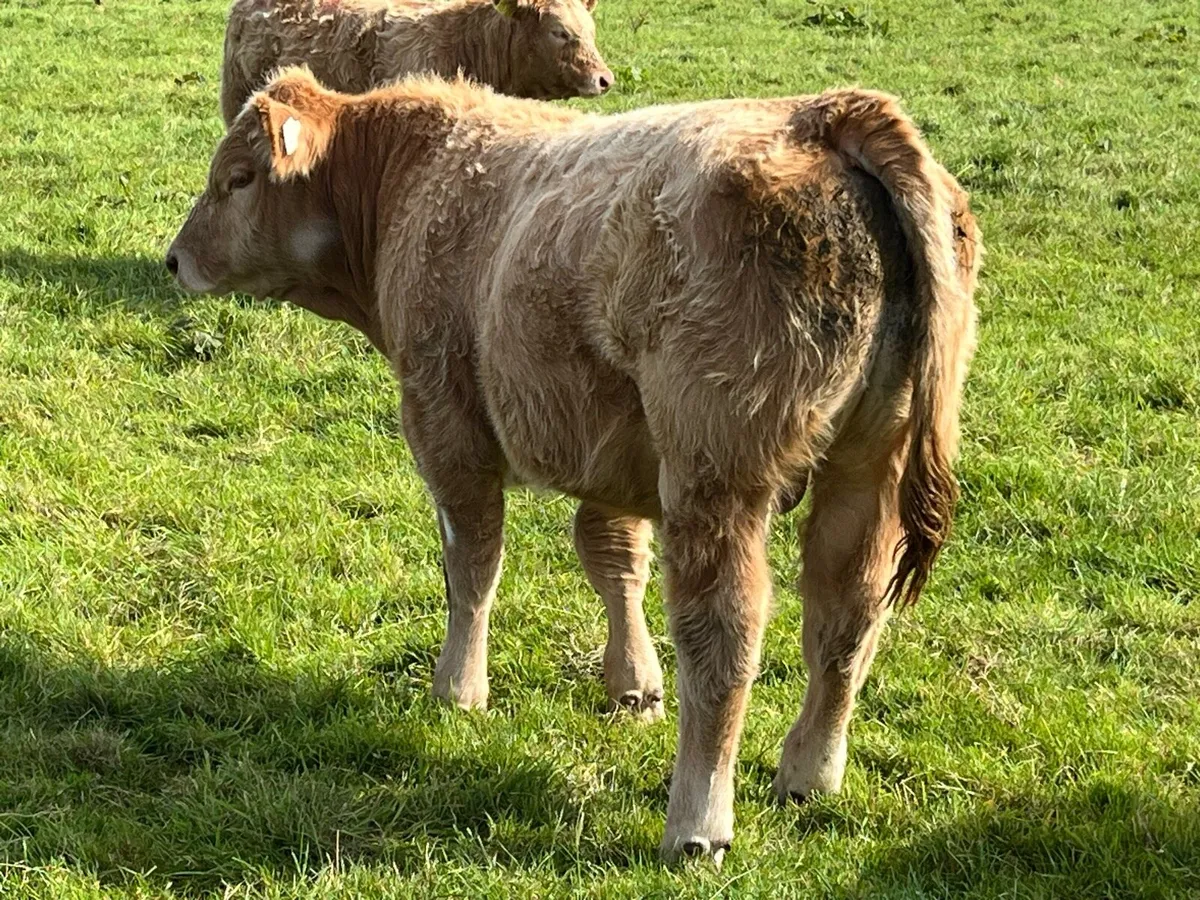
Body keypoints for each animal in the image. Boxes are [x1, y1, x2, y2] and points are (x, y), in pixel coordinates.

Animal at [166, 68, 981, 863]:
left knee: (724, 636)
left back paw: (697, 823)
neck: (406, 182)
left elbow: (472, 564)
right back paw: (810, 772)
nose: (175, 258)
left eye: (237, 178)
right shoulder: (613, 447)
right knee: (847, 615)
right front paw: (633, 684)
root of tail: (822, 113)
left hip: (715, 475)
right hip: (867, 467)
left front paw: (458, 688)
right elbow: (611, 555)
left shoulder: (444, 424)